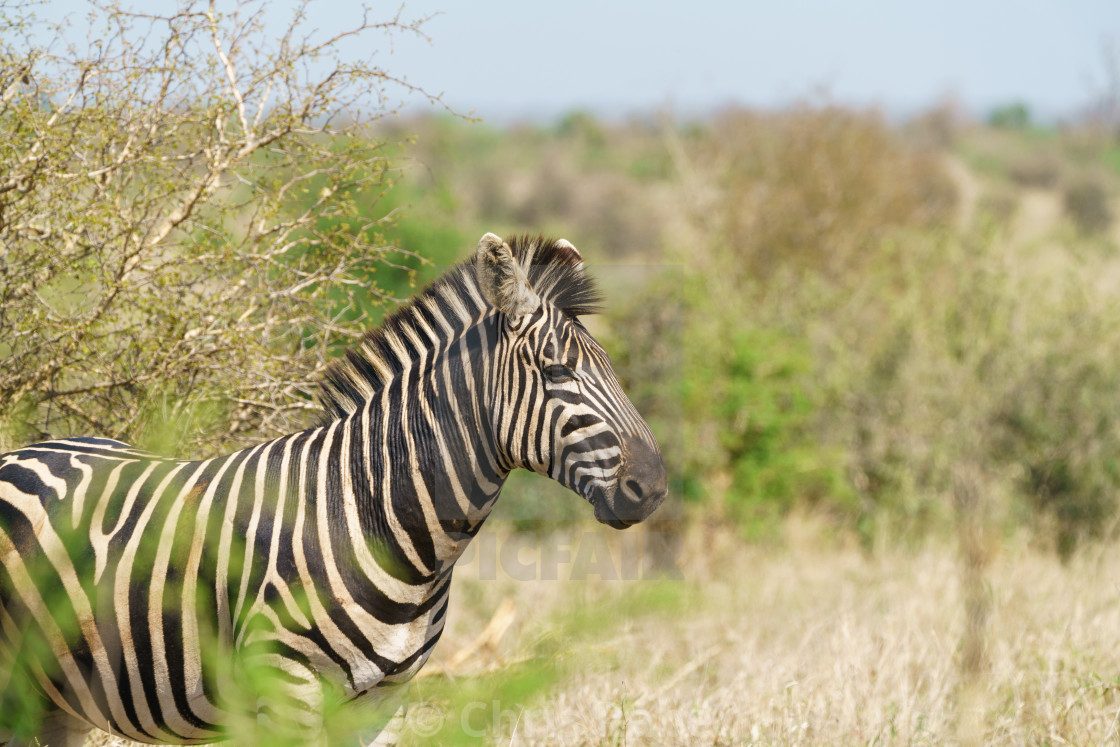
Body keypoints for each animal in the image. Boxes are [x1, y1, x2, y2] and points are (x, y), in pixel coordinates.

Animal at [0, 231, 663, 743]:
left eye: (611, 365)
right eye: (557, 371)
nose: (653, 486)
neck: (378, 517)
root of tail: (25, 448)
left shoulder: (378, 704)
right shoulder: (284, 691)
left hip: (59, 698)